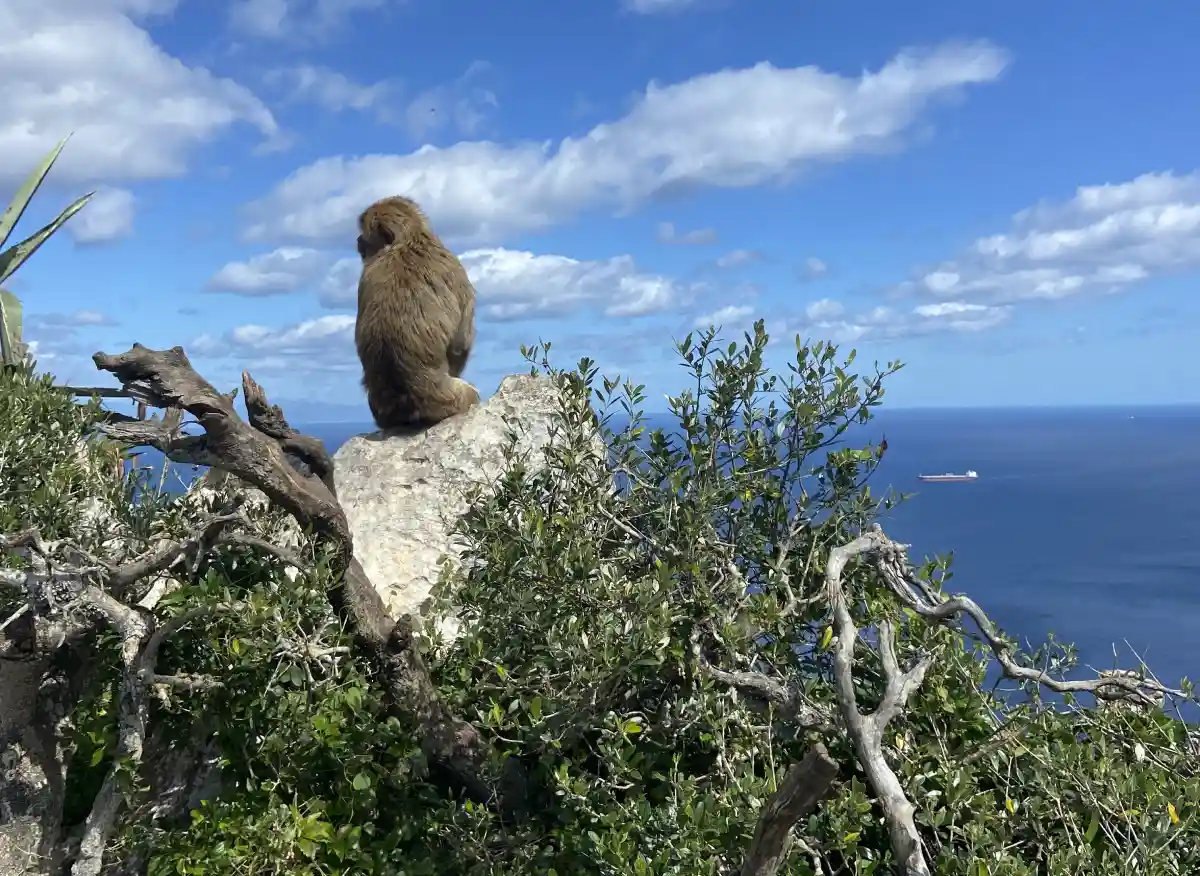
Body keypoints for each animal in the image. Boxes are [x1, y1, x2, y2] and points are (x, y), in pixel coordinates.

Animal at [353, 195, 481, 430]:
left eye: (363, 235)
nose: (358, 240)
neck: (407, 240)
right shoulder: (453, 265)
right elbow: (460, 343)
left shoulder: (365, 277)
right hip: (456, 398)